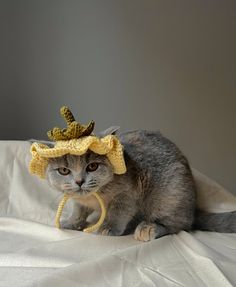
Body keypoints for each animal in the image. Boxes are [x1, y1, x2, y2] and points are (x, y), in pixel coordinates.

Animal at [45, 129, 235, 242]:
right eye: (64, 170)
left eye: (92, 166)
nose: (79, 181)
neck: (94, 197)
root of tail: (193, 208)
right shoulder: (79, 201)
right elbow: (78, 211)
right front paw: (72, 222)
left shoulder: (127, 195)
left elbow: (118, 213)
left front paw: (108, 227)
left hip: (170, 195)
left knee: (180, 225)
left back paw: (148, 228)